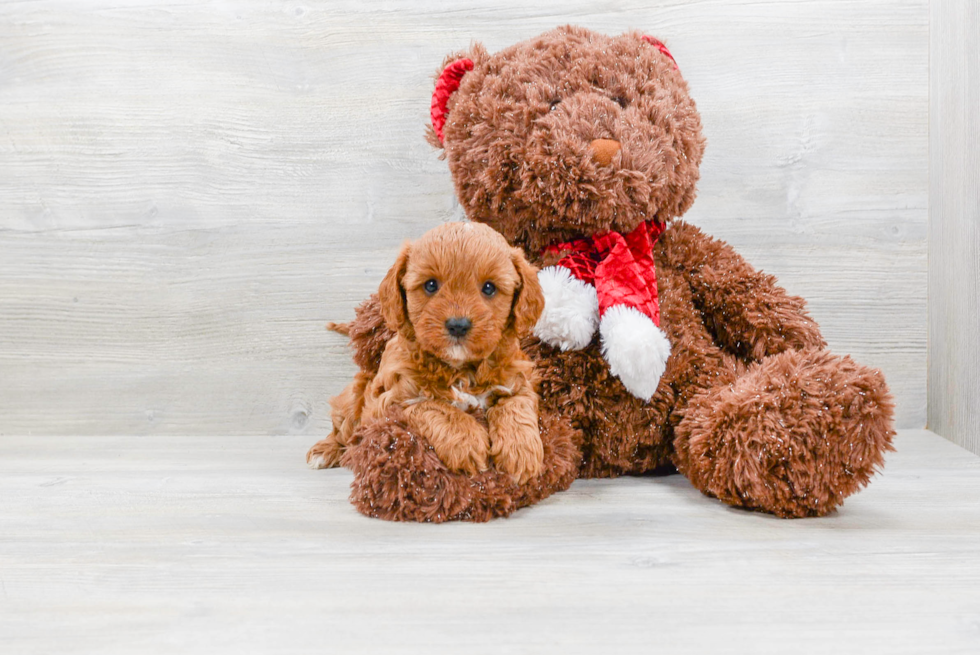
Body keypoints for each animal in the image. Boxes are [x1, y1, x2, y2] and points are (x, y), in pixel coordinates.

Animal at [306, 223, 548, 484]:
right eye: (431, 285)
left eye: (489, 288)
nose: (458, 325)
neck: (460, 369)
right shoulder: (387, 403)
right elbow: (432, 406)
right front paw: (467, 440)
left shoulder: (519, 379)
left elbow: (516, 405)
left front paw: (521, 452)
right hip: (354, 398)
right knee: (342, 431)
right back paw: (324, 450)